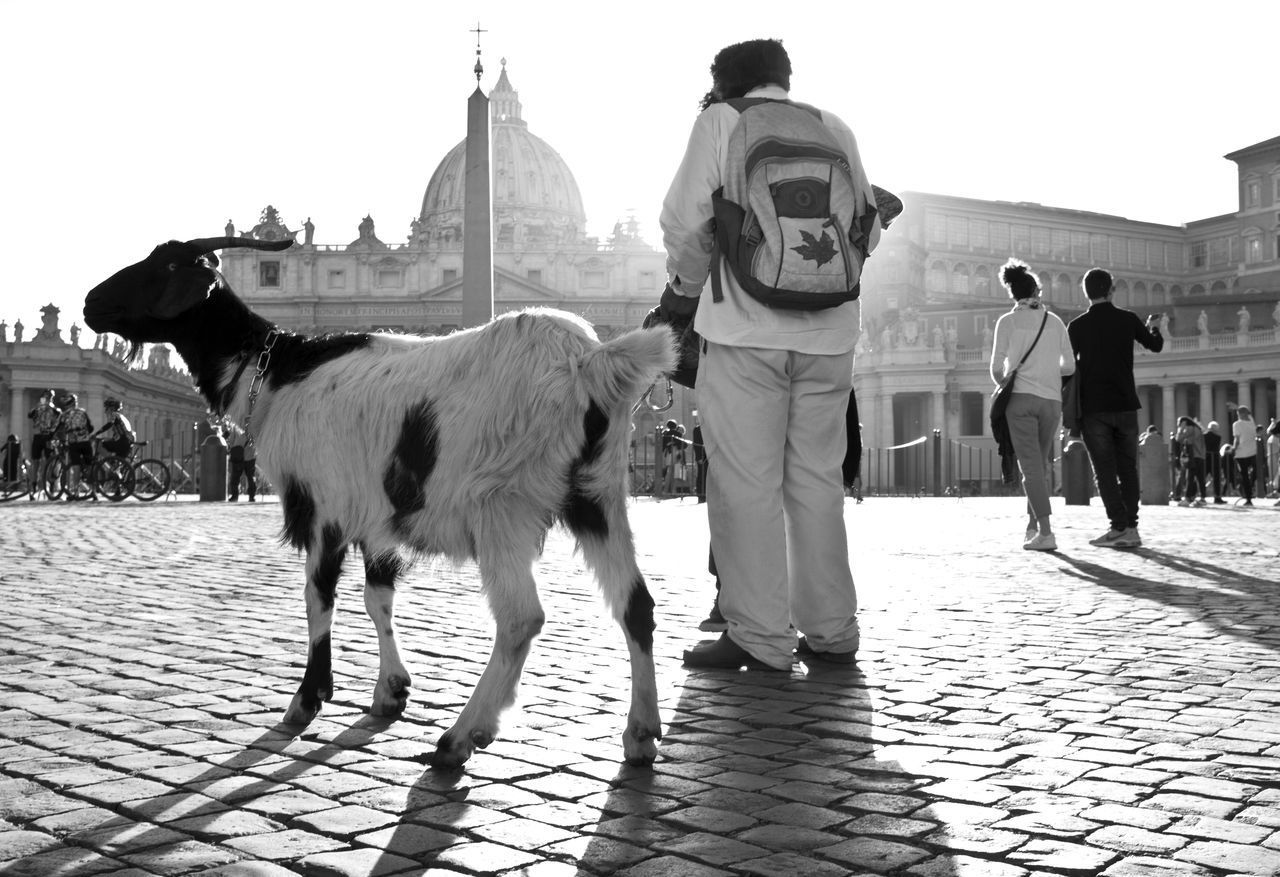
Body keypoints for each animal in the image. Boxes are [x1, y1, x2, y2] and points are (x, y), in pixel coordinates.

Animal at [83, 234, 675, 768]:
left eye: (163, 267)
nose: (90, 303)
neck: (279, 371)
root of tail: (589, 361)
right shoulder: (378, 518)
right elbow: (378, 598)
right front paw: (391, 690)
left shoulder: (324, 509)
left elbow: (318, 599)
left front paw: (307, 701)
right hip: (598, 499)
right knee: (636, 605)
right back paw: (641, 732)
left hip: (501, 509)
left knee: (520, 618)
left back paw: (460, 736)